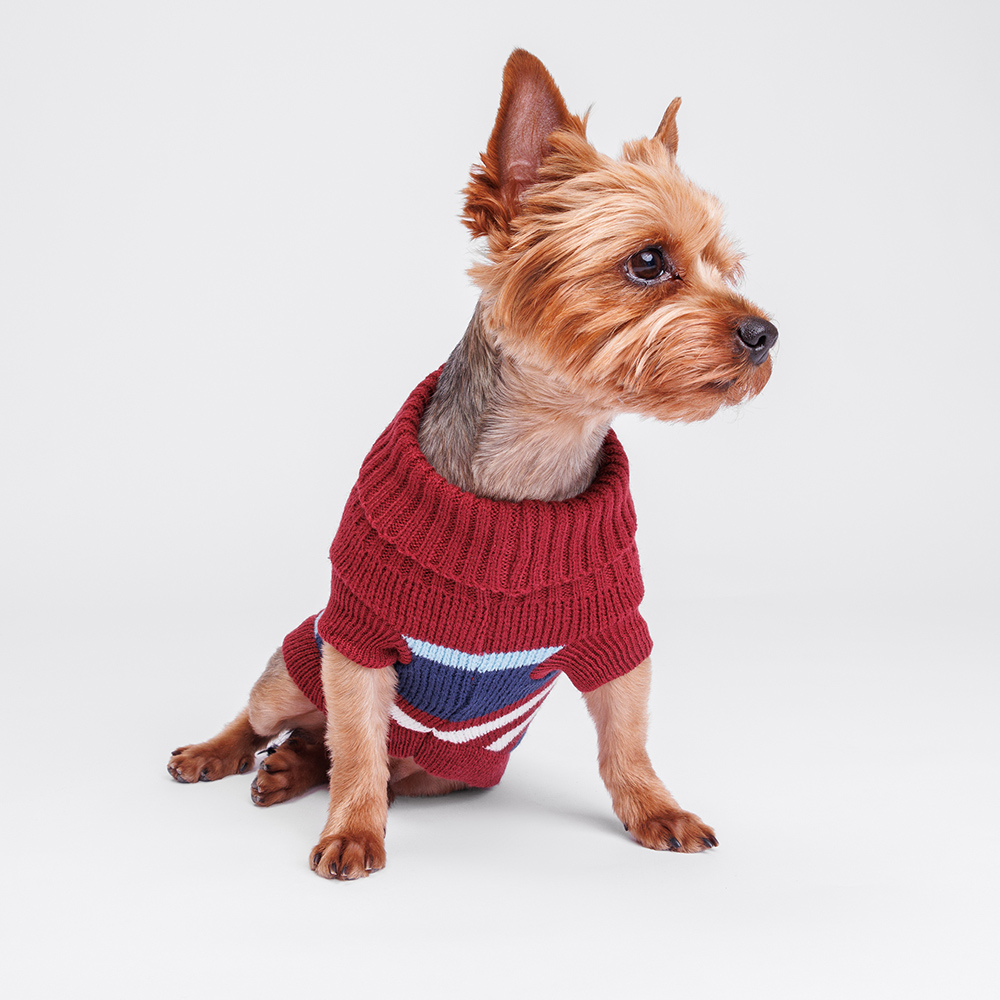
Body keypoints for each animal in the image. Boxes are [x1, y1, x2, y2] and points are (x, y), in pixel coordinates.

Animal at [168, 49, 777, 880]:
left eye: (729, 266)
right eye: (649, 261)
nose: (765, 333)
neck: (531, 464)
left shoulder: (618, 636)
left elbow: (627, 740)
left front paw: (657, 811)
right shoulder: (358, 638)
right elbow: (358, 748)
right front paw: (353, 832)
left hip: (446, 772)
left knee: (334, 750)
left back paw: (291, 769)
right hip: (294, 665)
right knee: (279, 721)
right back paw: (221, 753)